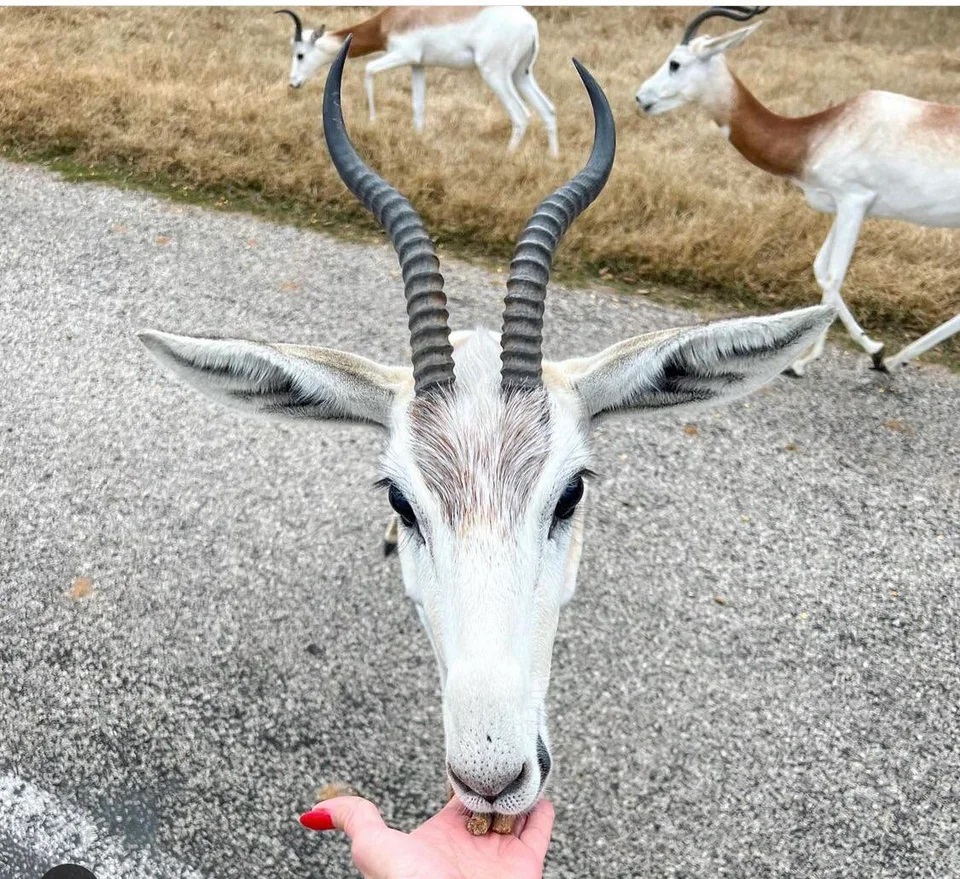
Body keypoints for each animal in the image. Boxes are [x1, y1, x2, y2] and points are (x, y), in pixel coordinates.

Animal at [275, 6, 559, 157]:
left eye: (300, 54)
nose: (293, 83)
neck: (394, 17)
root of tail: (531, 25)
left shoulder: (404, 55)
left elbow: (368, 70)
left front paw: (373, 121)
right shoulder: (418, 65)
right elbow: (418, 106)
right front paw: (418, 140)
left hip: (495, 74)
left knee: (521, 115)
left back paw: (505, 157)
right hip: (521, 75)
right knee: (548, 110)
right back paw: (553, 159)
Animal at [636, 6, 960, 375]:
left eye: (675, 63)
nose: (641, 97)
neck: (814, 135)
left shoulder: (854, 202)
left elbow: (833, 276)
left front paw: (809, 360)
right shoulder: (842, 206)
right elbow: (820, 270)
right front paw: (874, 350)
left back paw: (892, 359)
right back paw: (893, 359)